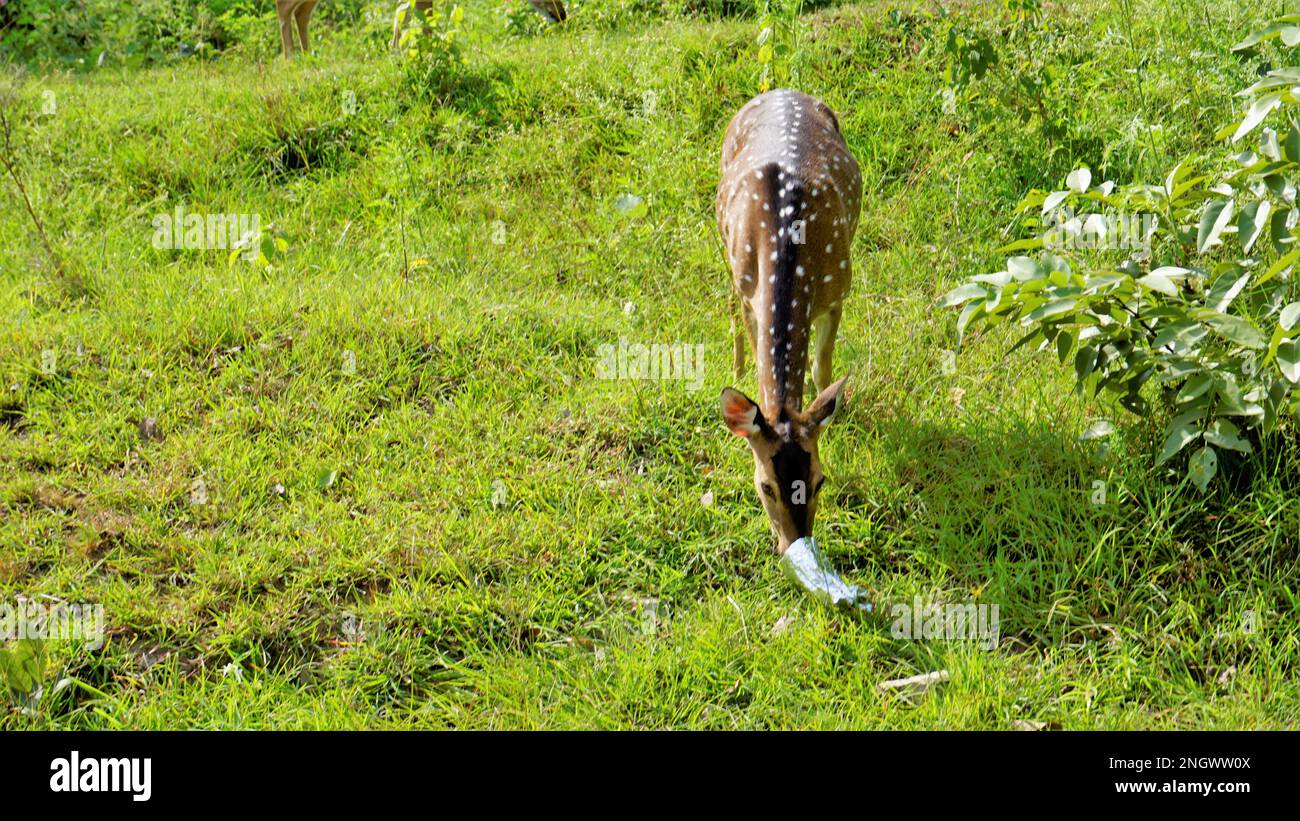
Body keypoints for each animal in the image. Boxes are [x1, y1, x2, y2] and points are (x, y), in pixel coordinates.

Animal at [716, 89, 862, 556]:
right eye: (765, 486)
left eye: (820, 480)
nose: (793, 544)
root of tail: (781, 91)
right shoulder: (750, 293)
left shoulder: (838, 291)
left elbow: (821, 369)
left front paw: (835, 410)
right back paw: (737, 364)